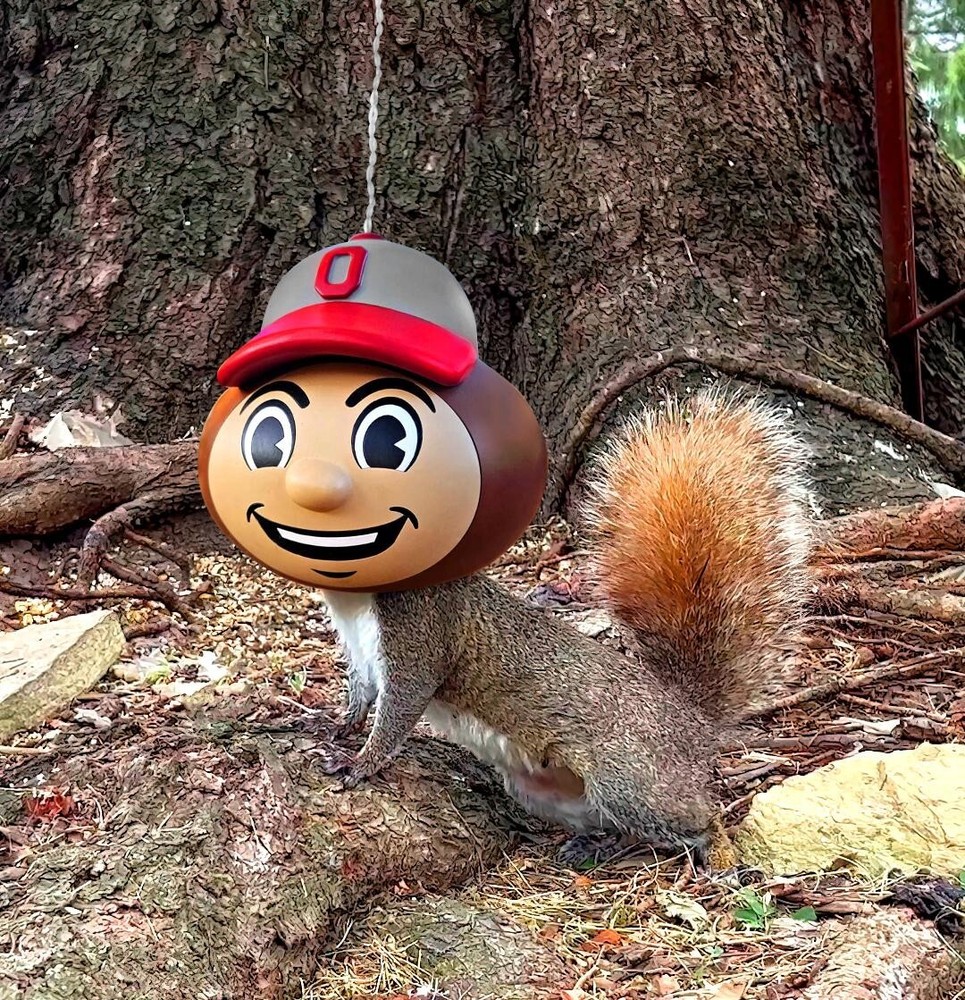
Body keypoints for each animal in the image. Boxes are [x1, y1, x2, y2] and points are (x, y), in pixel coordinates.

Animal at [317, 390, 812, 861]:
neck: (353, 602)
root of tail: (689, 718)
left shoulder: (420, 630)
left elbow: (401, 705)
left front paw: (362, 763)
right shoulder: (360, 649)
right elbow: (362, 691)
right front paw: (338, 724)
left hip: (629, 780)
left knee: (696, 818)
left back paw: (715, 851)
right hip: (549, 791)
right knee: (620, 825)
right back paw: (598, 845)